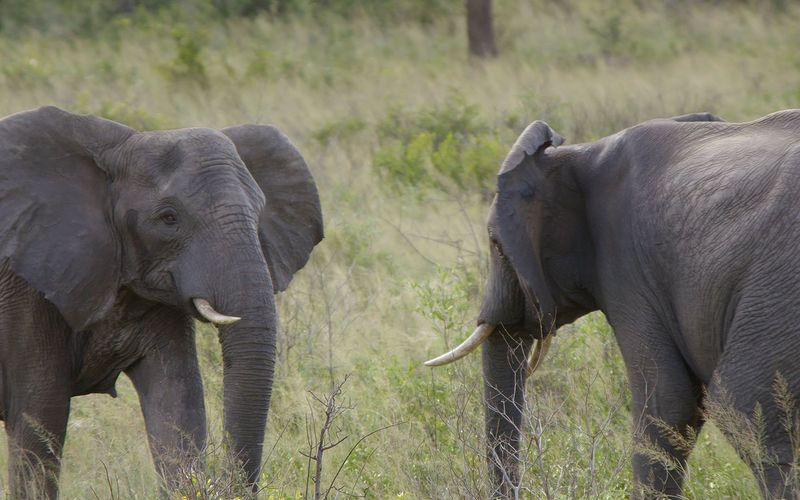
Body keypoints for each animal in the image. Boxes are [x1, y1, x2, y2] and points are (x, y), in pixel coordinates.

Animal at [0, 105, 322, 496]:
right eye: (168, 218)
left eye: (260, 214)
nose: (228, 483)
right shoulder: (25, 290)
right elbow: (38, 421)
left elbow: (178, 405)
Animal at [428, 111, 800, 498]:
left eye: (495, 243)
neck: (580, 154)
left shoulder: (628, 270)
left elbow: (667, 400)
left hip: (779, 281)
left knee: (744, 409)